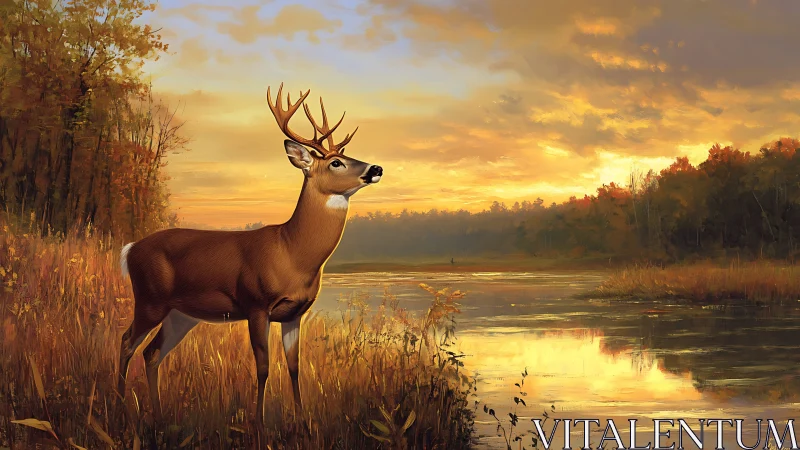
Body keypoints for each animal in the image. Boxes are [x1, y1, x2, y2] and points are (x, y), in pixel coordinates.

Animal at [116, 83, 382, 425]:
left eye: (347, 155)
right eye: (336, 162)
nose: (376, 168)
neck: (292, 252)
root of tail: (130, 249)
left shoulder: (295, 313)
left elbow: (294, 368)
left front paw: (302, 420)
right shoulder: (256, 304)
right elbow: (264, 367)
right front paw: (258, 423)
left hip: (180, 314)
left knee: (152, 353)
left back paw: (158, 415)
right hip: (150, 299)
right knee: (127, 342)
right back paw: (119, 406)